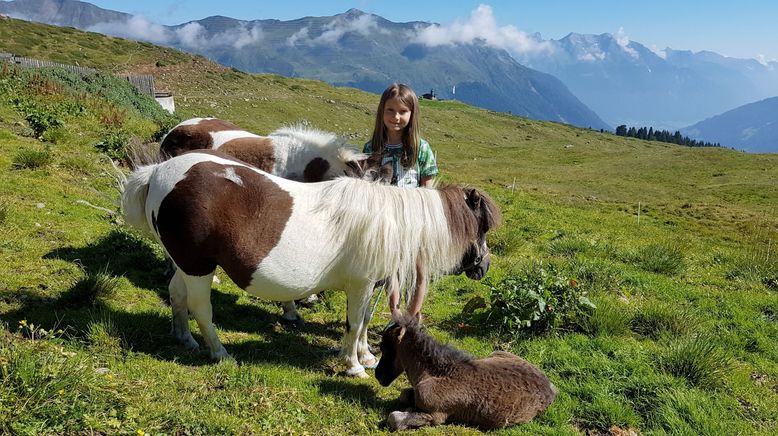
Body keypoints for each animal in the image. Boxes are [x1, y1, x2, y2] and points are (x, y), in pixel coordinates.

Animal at [121, 150, 498, 378]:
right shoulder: (360, 285)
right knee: (201, 307)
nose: (483, 267)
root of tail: (160, 171)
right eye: (481, 227)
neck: (389, 221)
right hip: (199, 266)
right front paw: (354, 365)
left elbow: (364, 323)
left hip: (185, 263)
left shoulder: (368, 286)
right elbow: (354, 324)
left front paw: (365, 356)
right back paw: (219, 352)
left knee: (177, 296)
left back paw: (185, 339)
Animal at [372, 316, 556, 430]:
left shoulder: (437, 415)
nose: (378, 375)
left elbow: (395, 418)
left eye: (386, 349)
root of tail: (551, 388)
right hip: (496, 353)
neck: (437, 373)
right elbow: (404, 394)